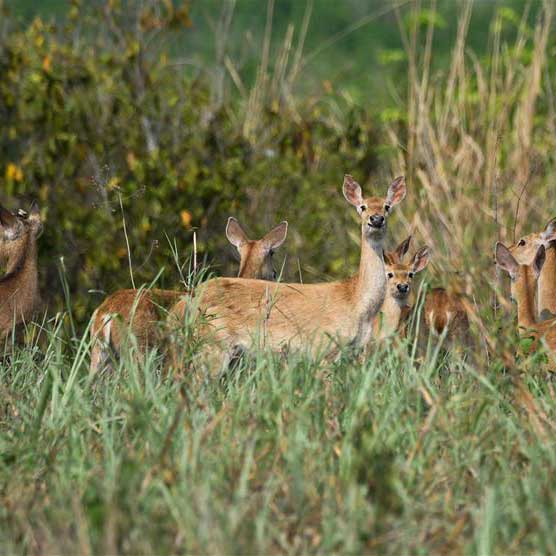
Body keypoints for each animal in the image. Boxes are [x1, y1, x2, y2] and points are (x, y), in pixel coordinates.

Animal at [167, 175, 406, 374]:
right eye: (362, 207)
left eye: (387, 207)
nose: (376, 219)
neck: (357, 300)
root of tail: (177, 310)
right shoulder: (323, 348)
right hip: (213, 344)